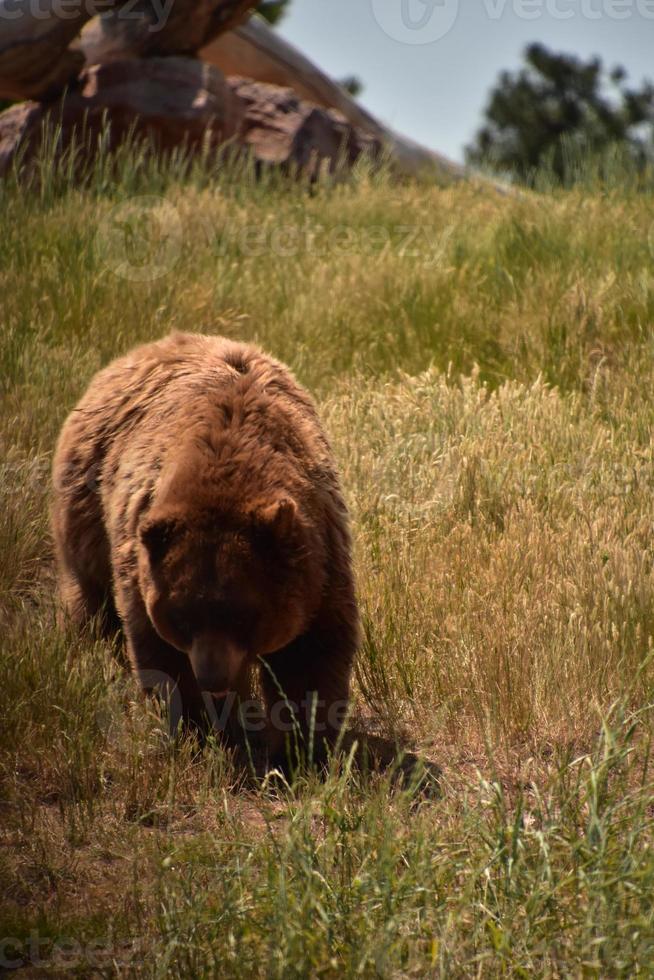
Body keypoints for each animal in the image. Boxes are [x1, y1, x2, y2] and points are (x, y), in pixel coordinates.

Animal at [52, 334, 362, 768]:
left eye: (244, 614)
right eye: (182, 615)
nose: (212, 676)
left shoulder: (319, 557)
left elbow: (310, 653)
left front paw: (302, 750)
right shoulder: (140, 565)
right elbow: (161, 658)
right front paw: (198, 732)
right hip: (87, 512)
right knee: (93, 599)